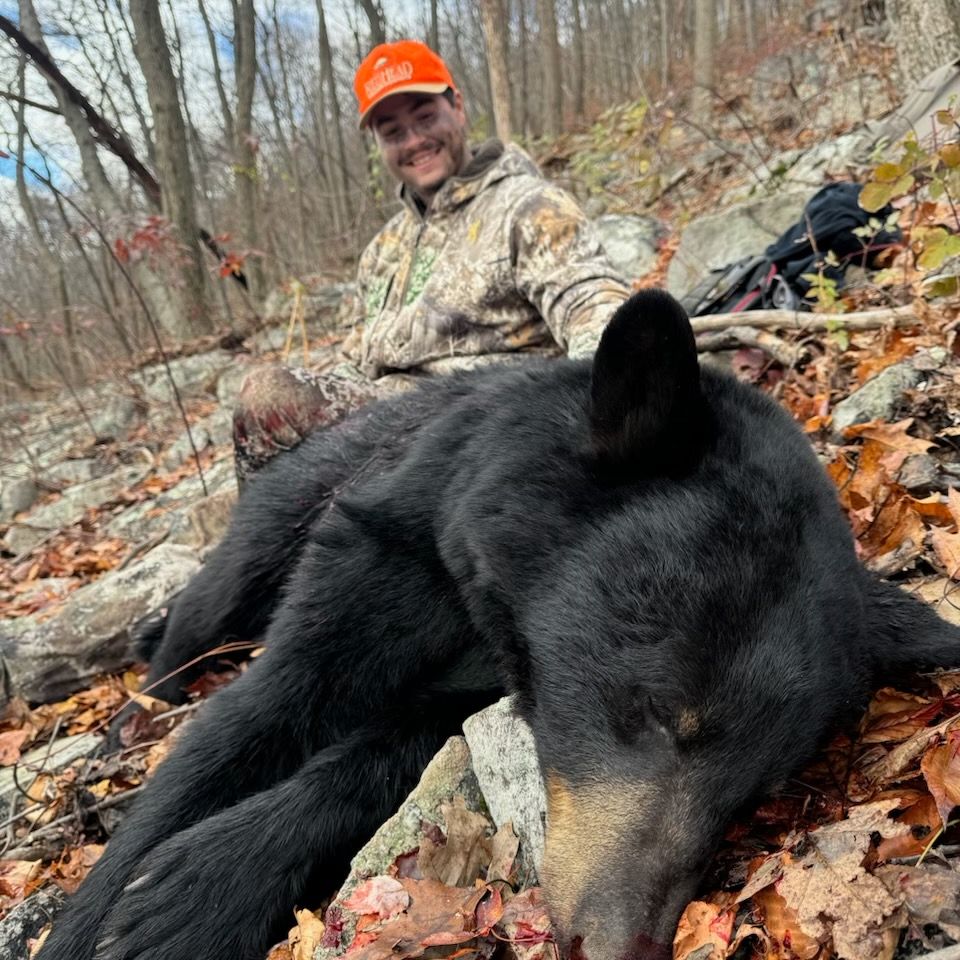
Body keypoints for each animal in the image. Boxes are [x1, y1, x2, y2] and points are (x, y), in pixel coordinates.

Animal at [38, 290, 960, 960]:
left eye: (757, 790)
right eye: (659, 714)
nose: (622, 944)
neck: (484, 602)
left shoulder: (491, 680)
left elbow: (388, 752)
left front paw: (198, 886)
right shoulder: (390, 559)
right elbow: (247, 725)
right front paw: (111, 914)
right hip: (282, 513)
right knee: (203, 613)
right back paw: (133, 711)